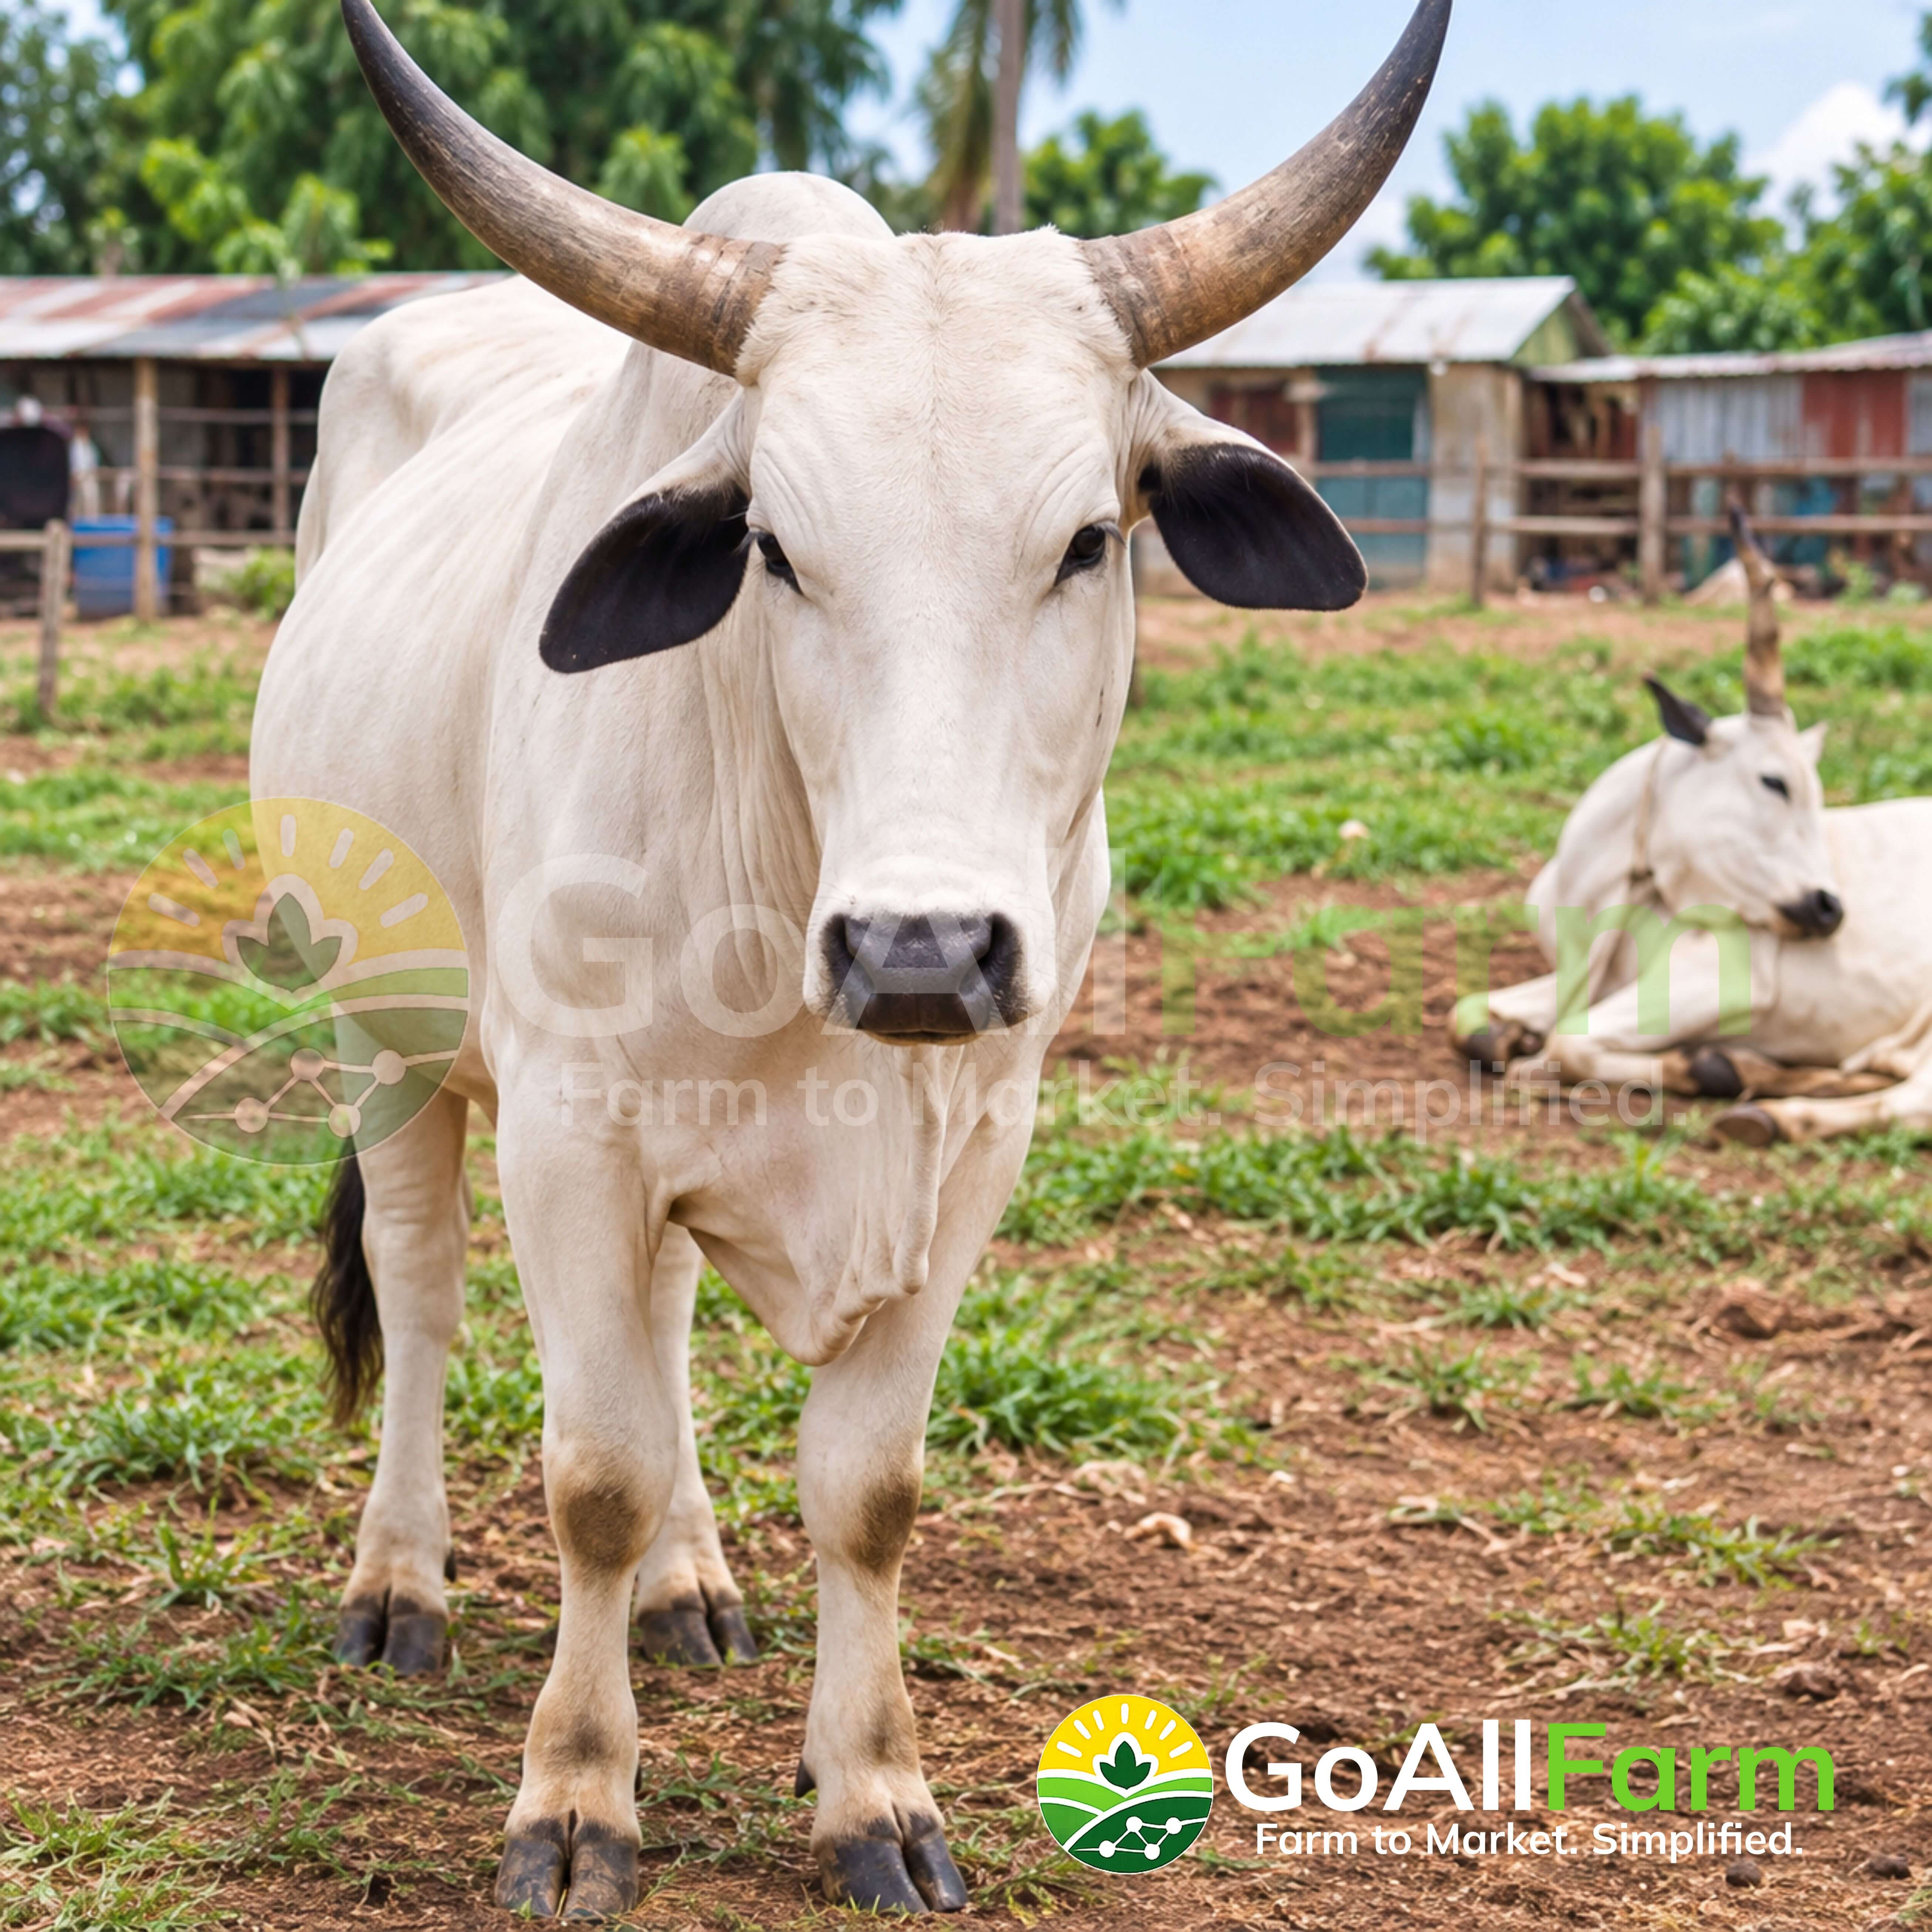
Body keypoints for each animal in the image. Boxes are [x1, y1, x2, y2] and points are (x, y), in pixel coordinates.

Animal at [249, 0, 1453, 1916]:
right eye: (772, 547)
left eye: (1088, 539)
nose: (918, 947)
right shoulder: (570, 1131)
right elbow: (590, 1471)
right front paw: (575, 1803)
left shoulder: (972, 1152)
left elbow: (865, 1487)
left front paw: (874, 1791)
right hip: (390, 1042)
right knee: (424, 1293)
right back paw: (398, 1584)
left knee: (663, 1336)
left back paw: (691, 1585)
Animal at [1452, 507, 1932, 1149]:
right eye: (1775, 782)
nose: (1828, 908)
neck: (1601, 893)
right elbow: (1468, 1017)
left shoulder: (1720, 977)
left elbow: (1566, 1047)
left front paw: (1712, 1067)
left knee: (1915, 1101)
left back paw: (1777, 1113)